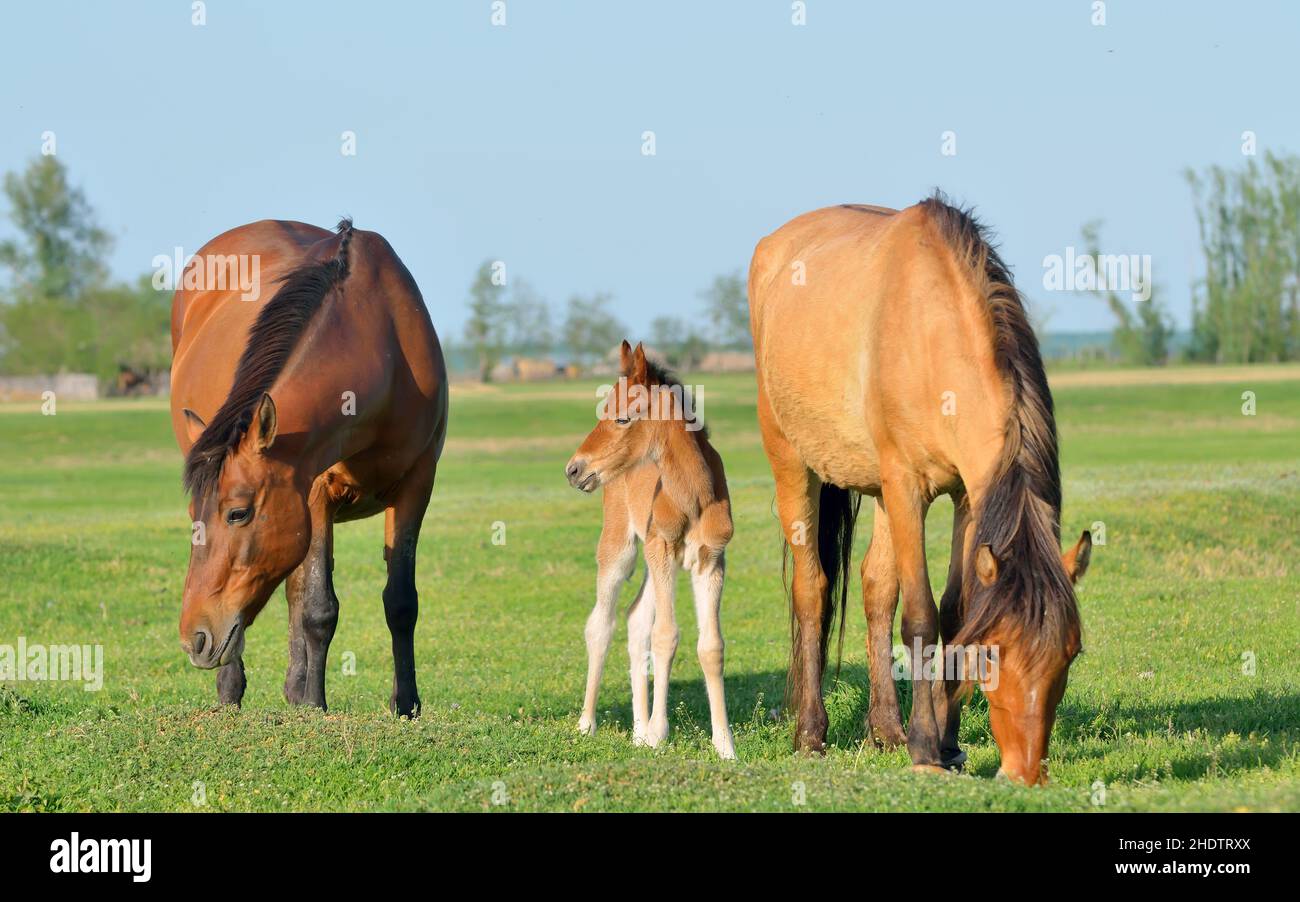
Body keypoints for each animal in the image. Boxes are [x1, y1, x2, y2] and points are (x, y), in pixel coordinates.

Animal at [169, 218, 448, 716]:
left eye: (237, 513)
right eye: (194, 519)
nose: (194, 638)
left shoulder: (417, 484)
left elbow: (400, 603)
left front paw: (406, 706)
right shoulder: (315, 490)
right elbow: (318, 608)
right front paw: (315, 705)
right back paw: (235, 691)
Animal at [564, 341, 736, 759]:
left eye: (623, 418)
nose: (574, 470)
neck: (695, 495)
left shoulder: (711, 560)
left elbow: (711, 646)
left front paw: (725, 745)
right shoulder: (663, 550)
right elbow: (666, 636)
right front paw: (660, 733)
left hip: (653, 560)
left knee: (635, 618)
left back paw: (638, 732)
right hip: (622, 548)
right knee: (602, 624)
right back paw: (587, 724)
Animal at [747, 195, 1092, 784]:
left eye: (1070, 654)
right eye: (994, 655)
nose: (1025, 774)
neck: (930, 332)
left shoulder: (968, 497)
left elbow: (953, 613)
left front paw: (947, 743)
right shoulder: (908, 487)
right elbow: (922, 618)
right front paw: (927, 747)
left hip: (882, 493)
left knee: (875, 586)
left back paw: (887, 729)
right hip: (794, 465)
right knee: (813, 590)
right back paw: (811, 735)